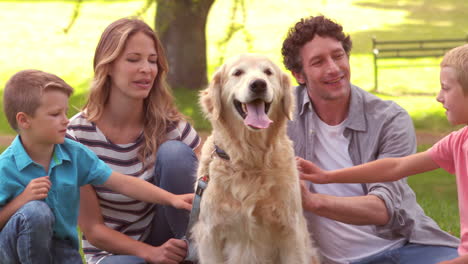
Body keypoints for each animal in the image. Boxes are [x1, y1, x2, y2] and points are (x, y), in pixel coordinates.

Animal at [192, 54, 320, 264]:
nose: (258, 84)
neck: (250, 158)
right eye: (237, 73)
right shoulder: (210, 234)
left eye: (268, 72)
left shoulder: (291, 231)